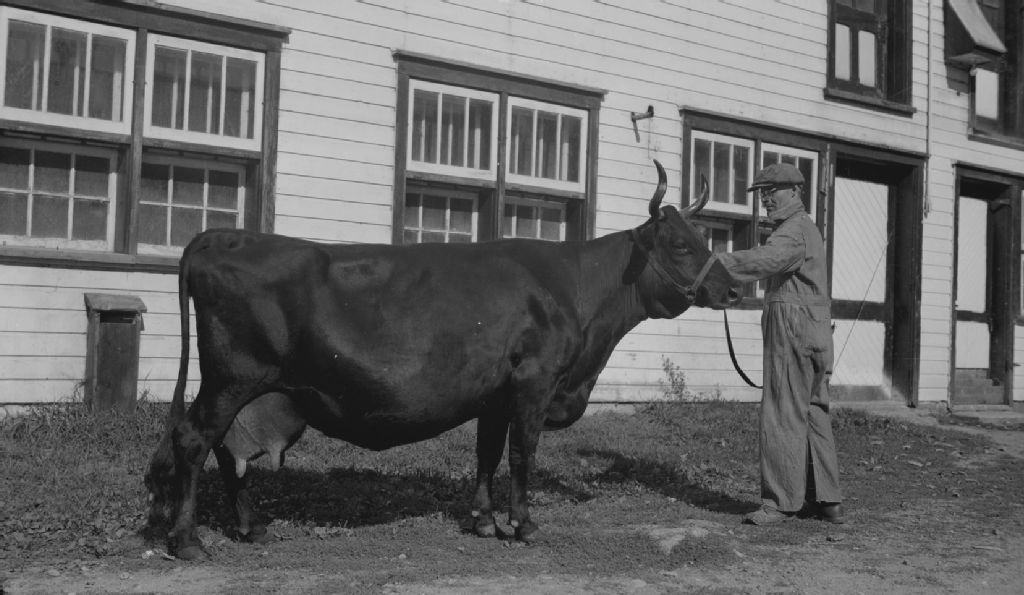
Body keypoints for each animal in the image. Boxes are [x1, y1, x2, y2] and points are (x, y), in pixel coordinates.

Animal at [145, 160, 740, 560]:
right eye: (680, 245)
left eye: (701, 236)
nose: (734, 288)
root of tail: (222, 236)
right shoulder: (534, 382)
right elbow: (522, 456)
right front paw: (524, 525)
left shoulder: (495, 393)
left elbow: (486, 454)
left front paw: (482, 521)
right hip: (230, 378)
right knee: (194, 440)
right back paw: (187, 540)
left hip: (249, 387)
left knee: (227, 450)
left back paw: (251, 525)